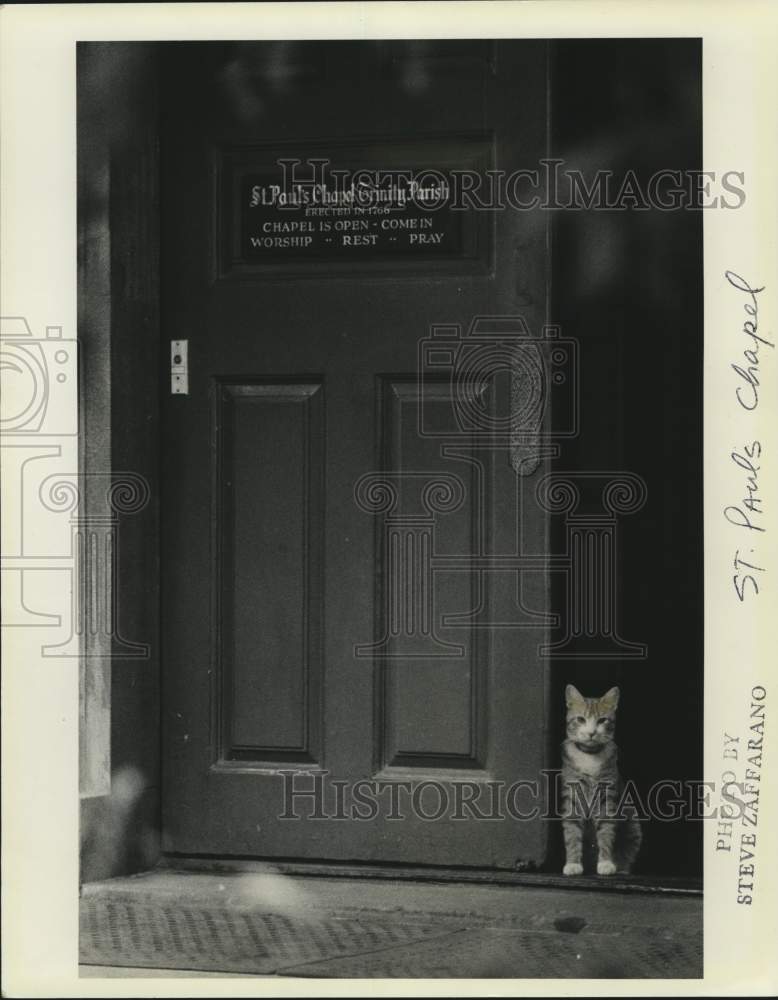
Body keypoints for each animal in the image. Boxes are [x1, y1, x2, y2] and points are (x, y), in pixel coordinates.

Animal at [560, 684, 640, 872]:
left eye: (602, 720)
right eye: (580, 719)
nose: (591, 733)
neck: (590, 755)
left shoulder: (606, 796)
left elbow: (606, 831)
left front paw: (605, 863)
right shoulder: (572, 795)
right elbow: (572, 832)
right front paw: (573, 864)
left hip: (633, 822)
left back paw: (621, 867)